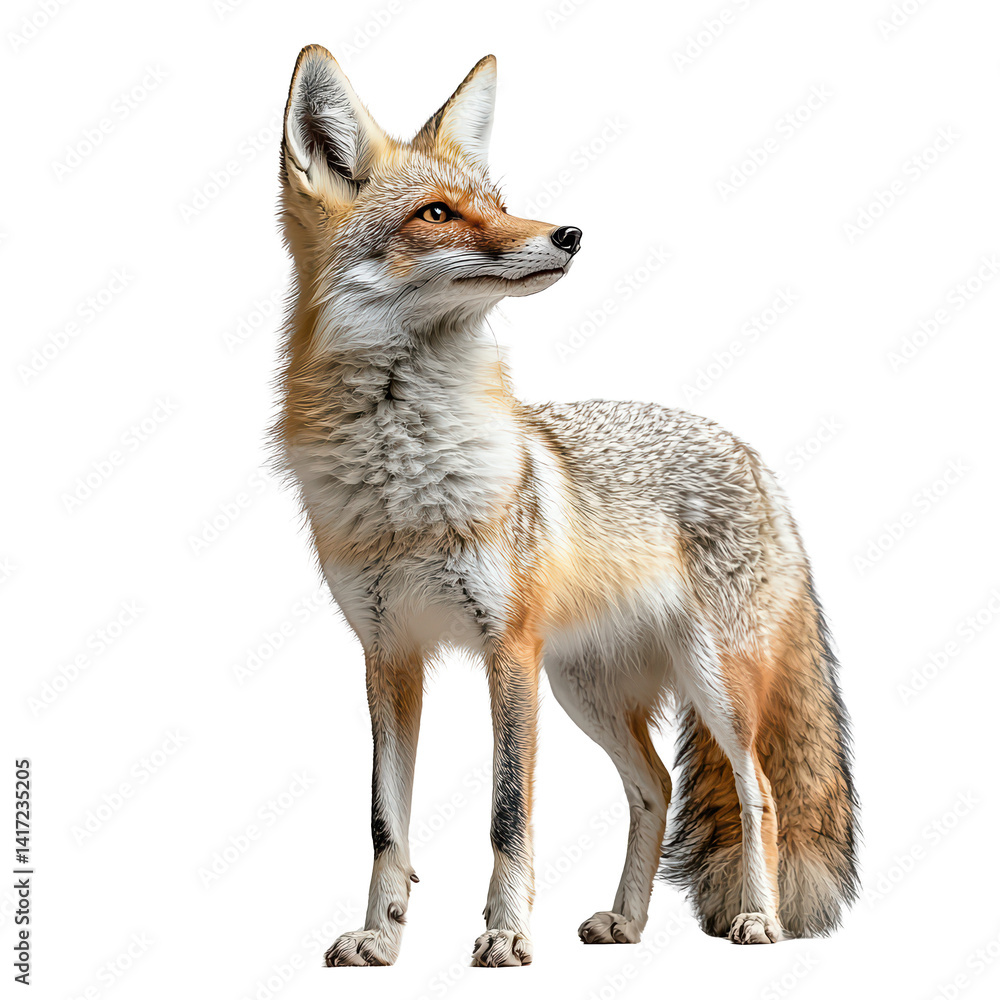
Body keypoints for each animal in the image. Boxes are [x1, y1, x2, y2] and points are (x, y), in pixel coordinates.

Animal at [274, 45, 859, 967]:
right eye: (437, 213)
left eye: (500, 204)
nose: (569, 234)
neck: (406, 483)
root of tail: (750, 453)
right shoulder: (387, 654)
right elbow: (385, 824)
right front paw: (380, 938)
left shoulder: (507, 649)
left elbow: (507, 814)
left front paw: (506, 934)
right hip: (586, 691)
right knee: (656, 787)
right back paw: (627, 921)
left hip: (714, 682)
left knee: (758, 789)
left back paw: (757, 919)